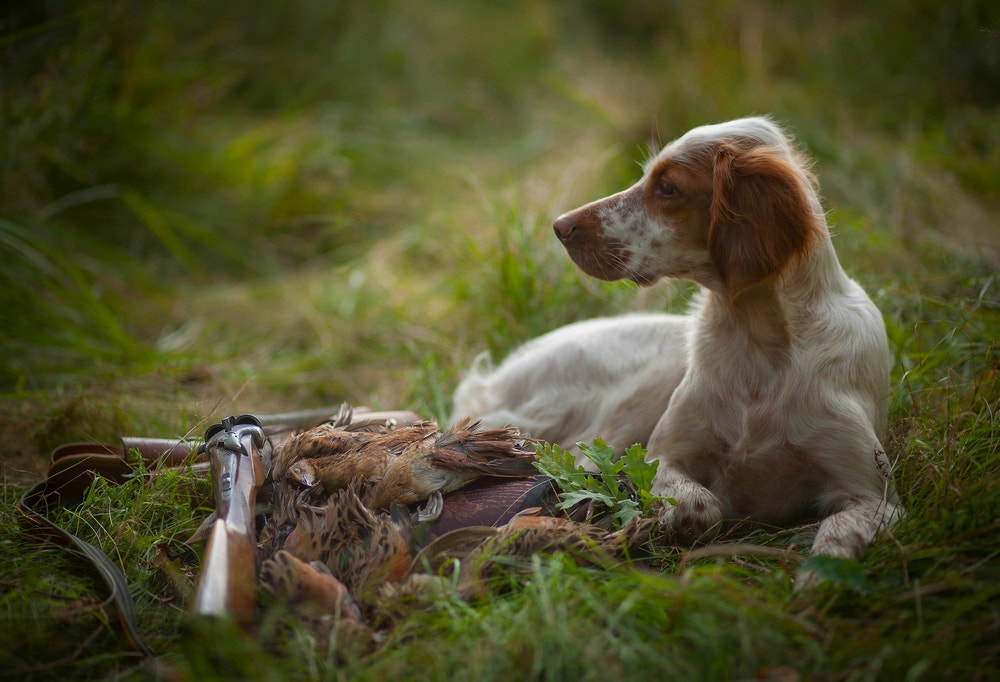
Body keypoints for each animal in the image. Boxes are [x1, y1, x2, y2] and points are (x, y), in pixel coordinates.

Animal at [454, 118, 900, 568]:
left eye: (667, 187)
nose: (560, 226)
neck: (760, 340)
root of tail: (496, 377)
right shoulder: (662, 456)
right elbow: (701, 506)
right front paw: (660, 522)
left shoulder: (874, 496)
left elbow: (835, 542)